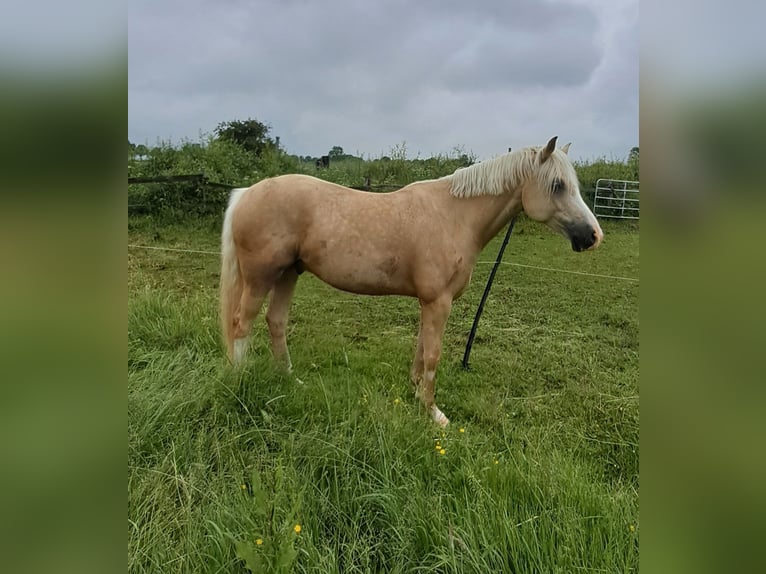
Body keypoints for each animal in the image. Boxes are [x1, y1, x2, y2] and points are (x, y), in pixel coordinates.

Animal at [220, 136, 603, 426]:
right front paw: (434, 413)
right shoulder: (438, 301)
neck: (455, 216)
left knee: (276, 322)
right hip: (261, 277)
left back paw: (289, 378)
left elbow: (420, 349)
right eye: (557, 185)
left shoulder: (428, 301)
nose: (593, 236)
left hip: (289, 273)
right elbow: (433, 353)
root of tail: (246, 193)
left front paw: (416, 393)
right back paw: (239, 381)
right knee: (241, 324)